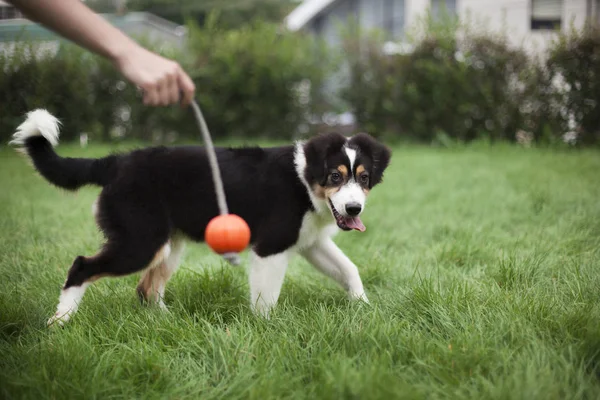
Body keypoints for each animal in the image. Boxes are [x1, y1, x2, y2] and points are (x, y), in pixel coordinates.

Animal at [11, 108, 394, 324]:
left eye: (363, 179)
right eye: (334, 176)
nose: (354, 209)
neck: (304, 180)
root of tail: (116, 162)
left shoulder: (311, 242)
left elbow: (349, 270)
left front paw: (363, 308)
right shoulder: (271, 247)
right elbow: (266, 298)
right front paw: (268, 330)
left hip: (167, 244)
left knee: (146, 289)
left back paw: (169, 323)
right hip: (140, 241)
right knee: (81, 267)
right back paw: (60, 322)